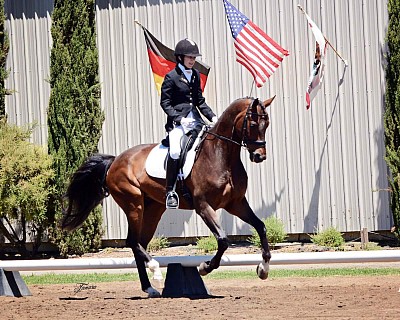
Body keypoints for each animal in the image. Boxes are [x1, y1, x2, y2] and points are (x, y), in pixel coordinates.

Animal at [61, 95, 276, 298]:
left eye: (267, 125)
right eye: (254, 124)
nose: (260, 156)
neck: (221, 155)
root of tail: (115, 160)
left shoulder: (236, 204)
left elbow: (261, 227)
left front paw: (263, 269)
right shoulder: (203, 206)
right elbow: (223, 240)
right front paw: (204, 267)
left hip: (153, 209)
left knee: (140, 242)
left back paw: (149, 288)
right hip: (133, 204)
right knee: (132, 241)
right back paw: (155, 271)